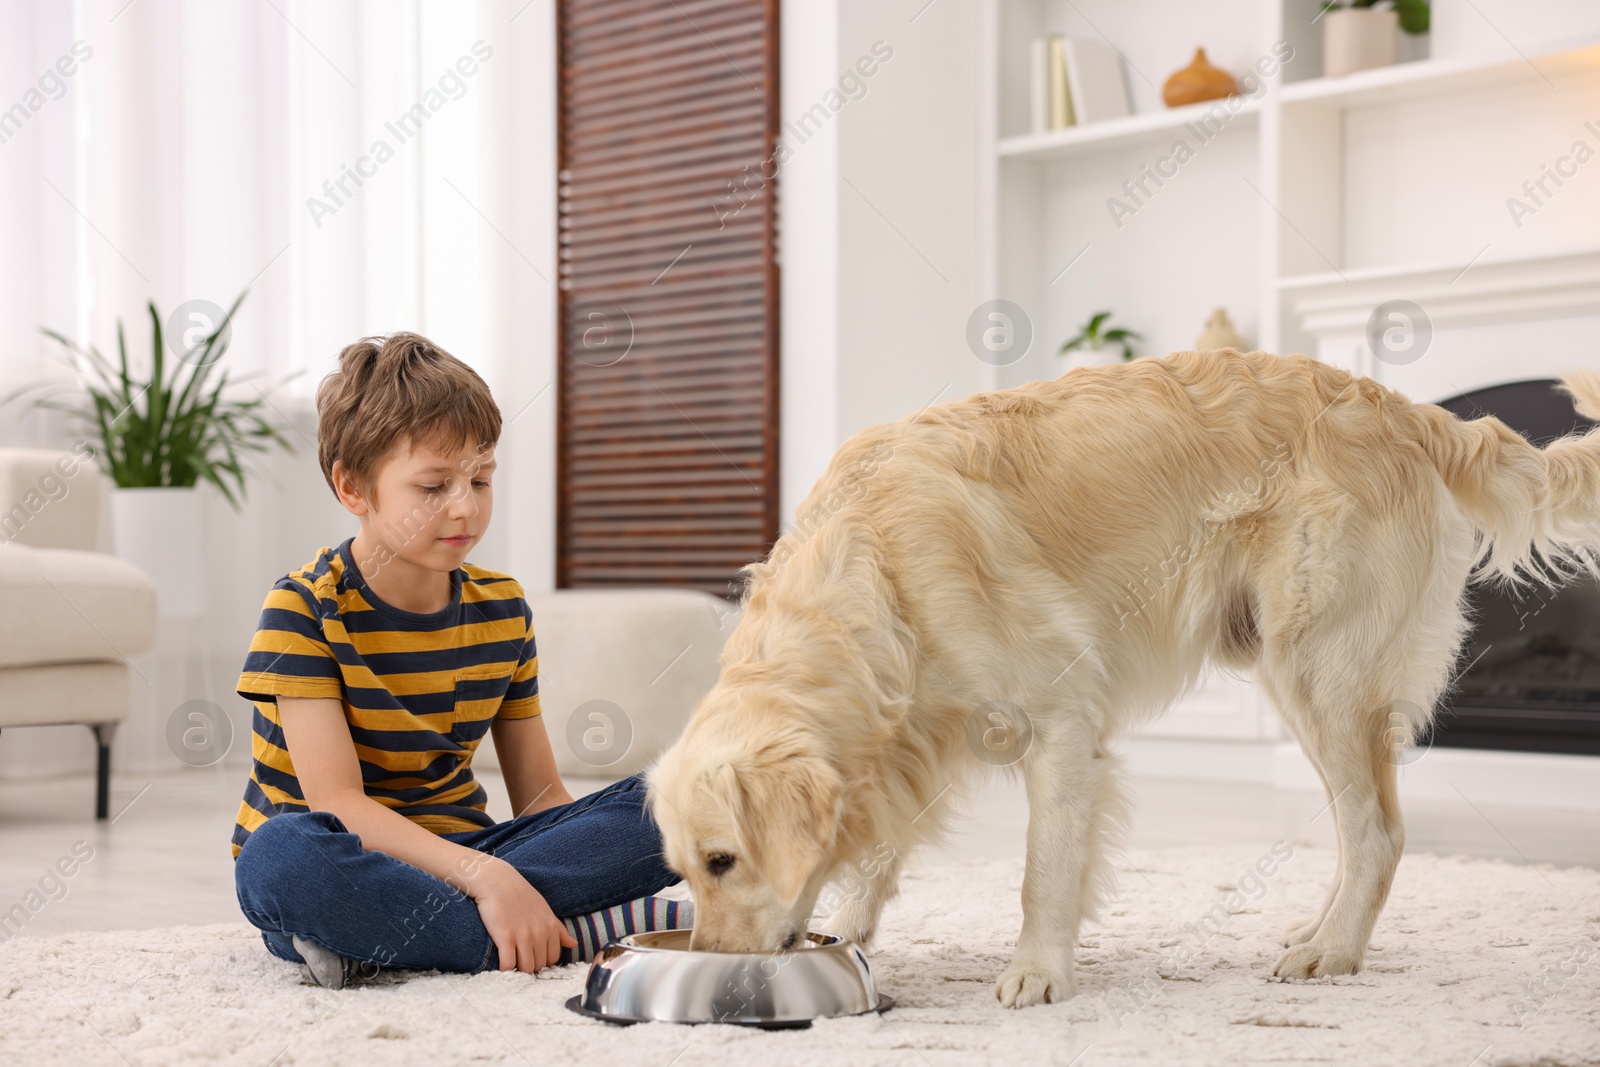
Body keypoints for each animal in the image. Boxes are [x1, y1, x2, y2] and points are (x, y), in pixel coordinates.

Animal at [643, 348, 1593, 1011]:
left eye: (724, 859)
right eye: (685, 870)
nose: (716, 972)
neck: (876, 571)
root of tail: (1404, 409)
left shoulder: (1059, 719)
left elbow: (1044, 867)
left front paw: (1037, 970)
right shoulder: (914, 735)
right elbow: (882, 839)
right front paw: (854, 917)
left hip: (1321, 670)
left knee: (1380, 832)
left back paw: (1335, 952)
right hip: (1296, 674)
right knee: (1362, 828)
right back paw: (1319, 929)